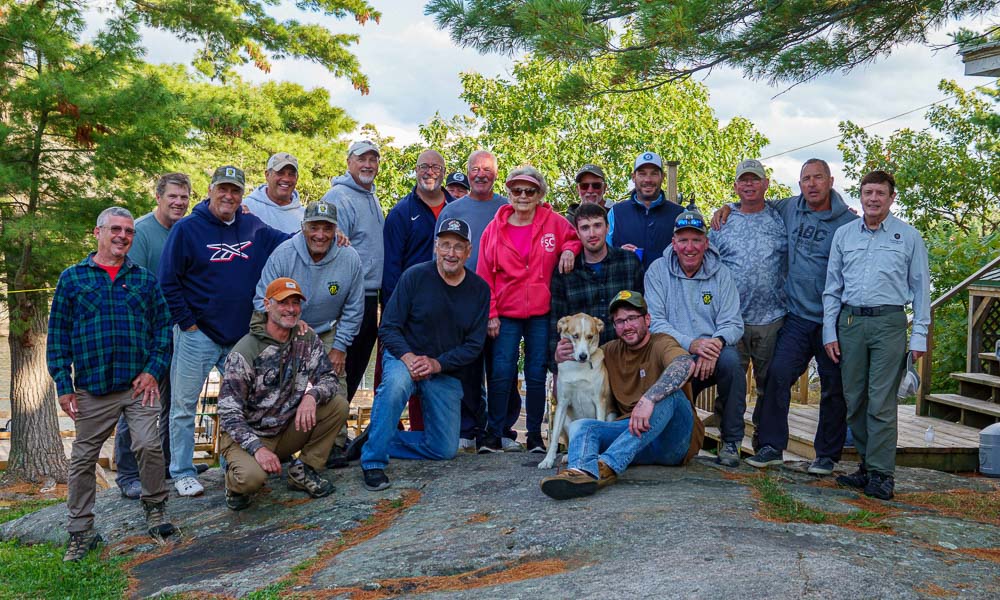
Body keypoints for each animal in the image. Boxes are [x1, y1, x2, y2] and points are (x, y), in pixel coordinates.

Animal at [538, 313, 615, 469]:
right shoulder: (562, 403)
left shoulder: (600, 401)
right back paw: (568, 456)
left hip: (610, 417)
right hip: (566, 420)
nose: (583, 356)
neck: (578, 367)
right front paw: (548, 460)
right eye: (575, 336)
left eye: (590, 336)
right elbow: (554, 437)